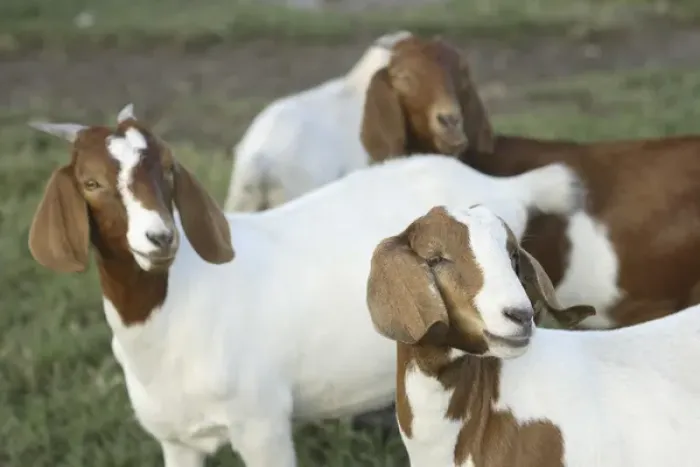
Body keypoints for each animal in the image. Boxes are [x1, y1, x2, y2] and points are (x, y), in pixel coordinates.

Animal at [28, 104, 584, 467]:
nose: (160, 237)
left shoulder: (262, 424)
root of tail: (507, 188)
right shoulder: (175, 439)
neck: (180, 305)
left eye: (167, 170)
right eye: (91, 183)